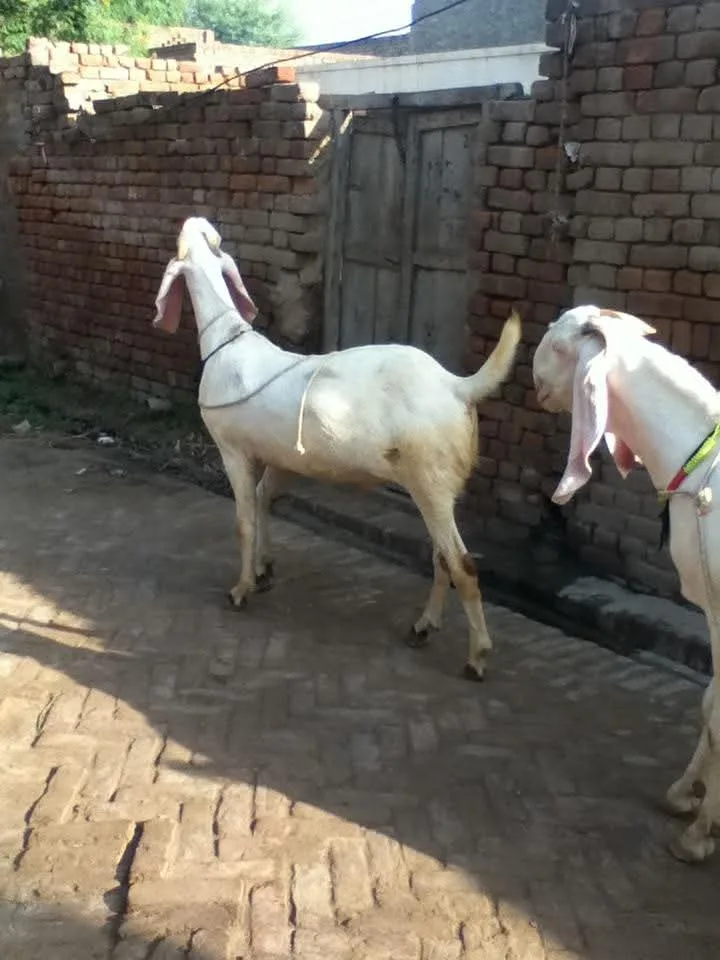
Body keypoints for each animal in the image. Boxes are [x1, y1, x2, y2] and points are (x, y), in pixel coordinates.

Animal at [153, 217, 521, 681]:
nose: (192, 223)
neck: (227, 342)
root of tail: (456, 386)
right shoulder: (281, 456)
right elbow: (265, 500)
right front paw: (265, 569)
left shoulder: (232, 448)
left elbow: (244, 520)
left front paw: (241, 588)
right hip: (433, 485)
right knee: (443, 558)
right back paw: (423, 626)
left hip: (429, 478)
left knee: (462, 564)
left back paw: (476, 657)